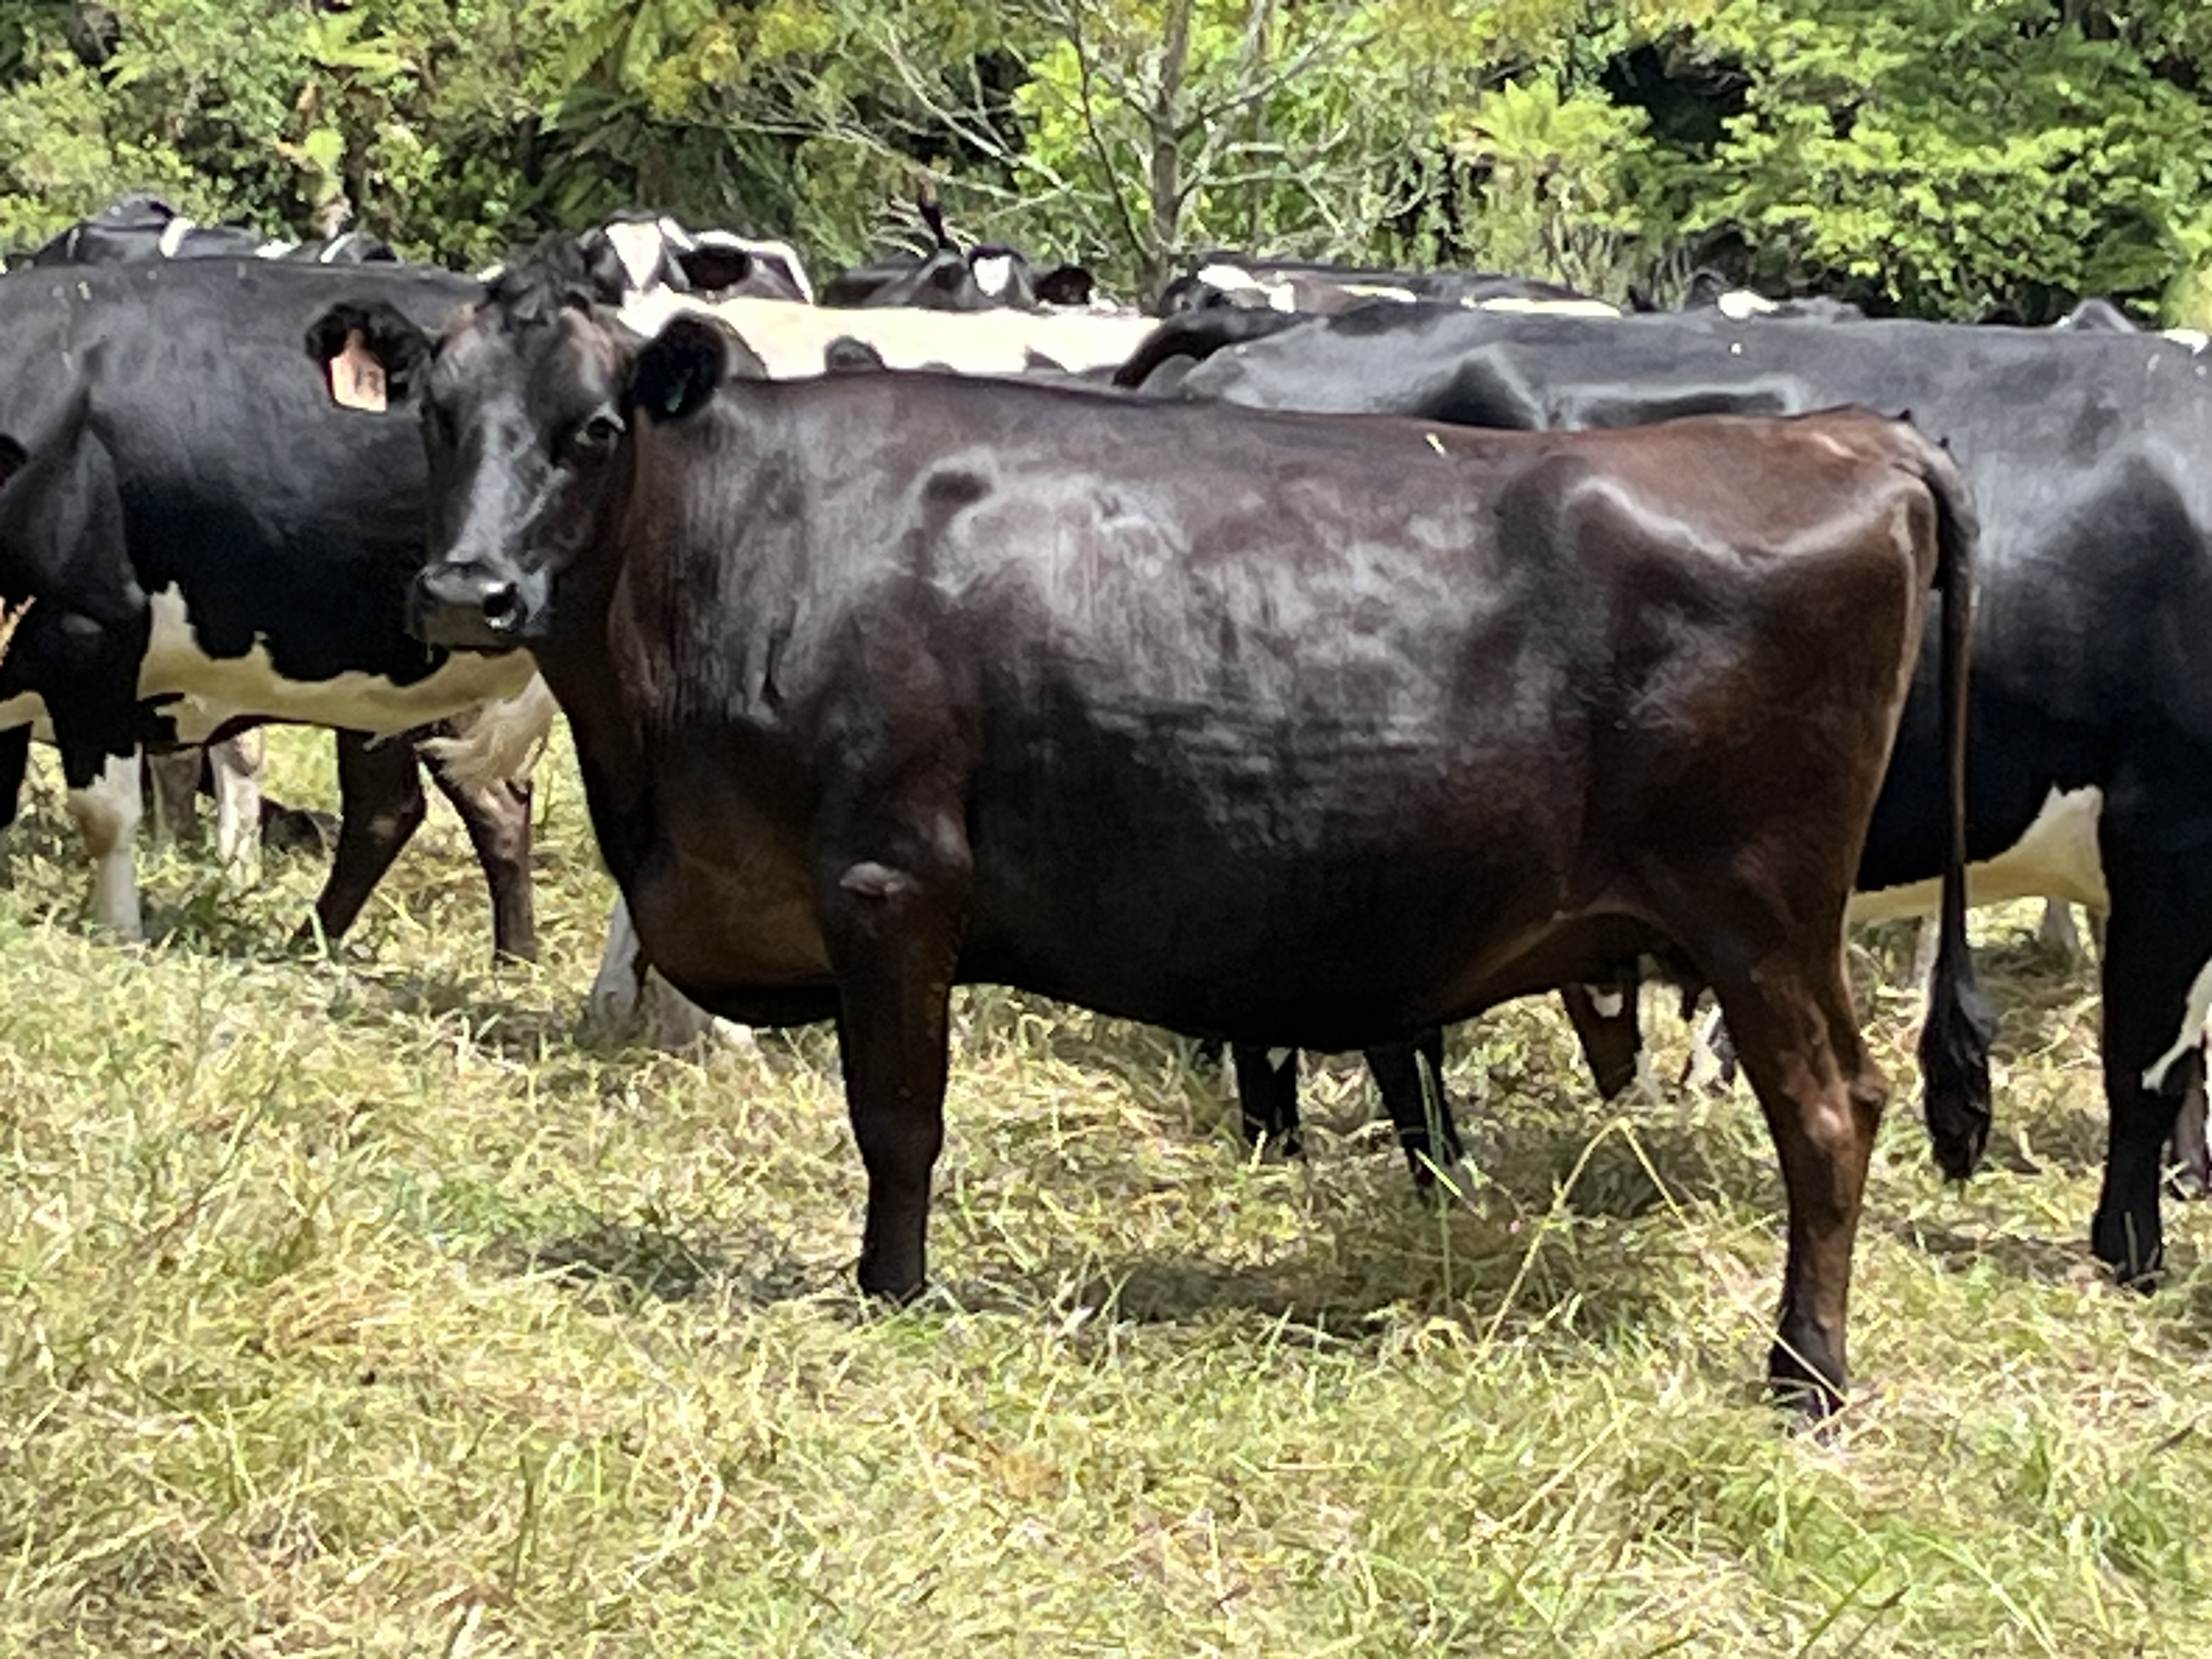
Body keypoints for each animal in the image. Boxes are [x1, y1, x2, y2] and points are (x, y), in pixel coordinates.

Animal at [311, 241, 1987, 1416]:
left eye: (594, 431)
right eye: (438, 421)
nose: (467, 593)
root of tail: (1857, 439)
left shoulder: (888, 883)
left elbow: (898, 1117)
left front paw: (891, 1290)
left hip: (1764, 912)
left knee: (1832, 1112)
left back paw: (1806, 1374)